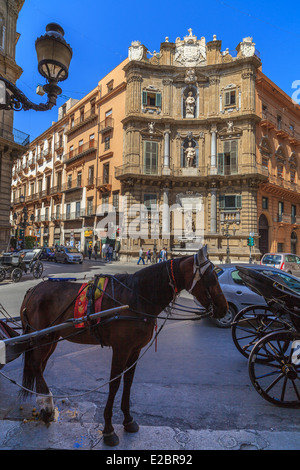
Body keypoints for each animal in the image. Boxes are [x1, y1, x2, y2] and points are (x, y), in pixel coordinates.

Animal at [19, 244, 227, 446]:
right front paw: (109, 429)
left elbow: (128, 381)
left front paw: (128, 420)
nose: (224, 309)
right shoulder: (121, 349)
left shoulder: (135, 350)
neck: (137, 297)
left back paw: (44, 404)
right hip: (42, 337)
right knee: (36, 364)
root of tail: (32, 290)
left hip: (50, 337)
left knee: (39, 365)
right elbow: (114, 383)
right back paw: (46, 404)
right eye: (211, 278)